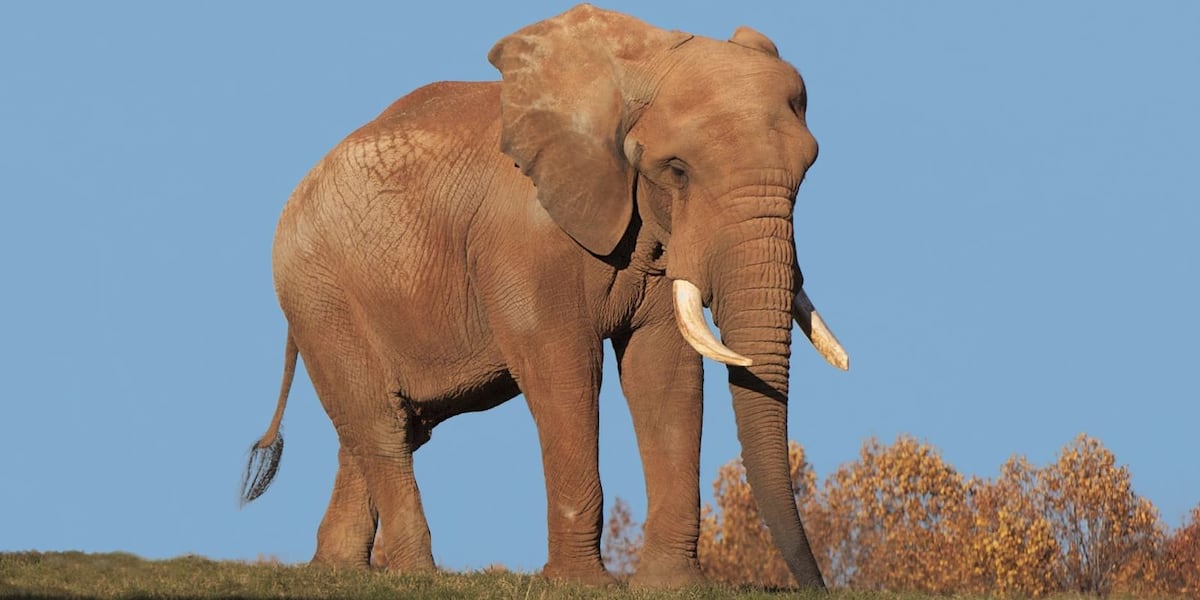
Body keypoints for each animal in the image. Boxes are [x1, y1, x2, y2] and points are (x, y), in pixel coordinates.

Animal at [241, 4, 848, 589]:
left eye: (806, 170)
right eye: (677, 170)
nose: (815, 584)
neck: (633, 63)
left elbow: (664, 370)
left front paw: (673, 585)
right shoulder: (523, 239)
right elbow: (564, 369)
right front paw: (582, 583)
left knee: (387, 426)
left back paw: (338, 570)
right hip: (318, 290)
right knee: (383, 426)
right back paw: (416, 575)